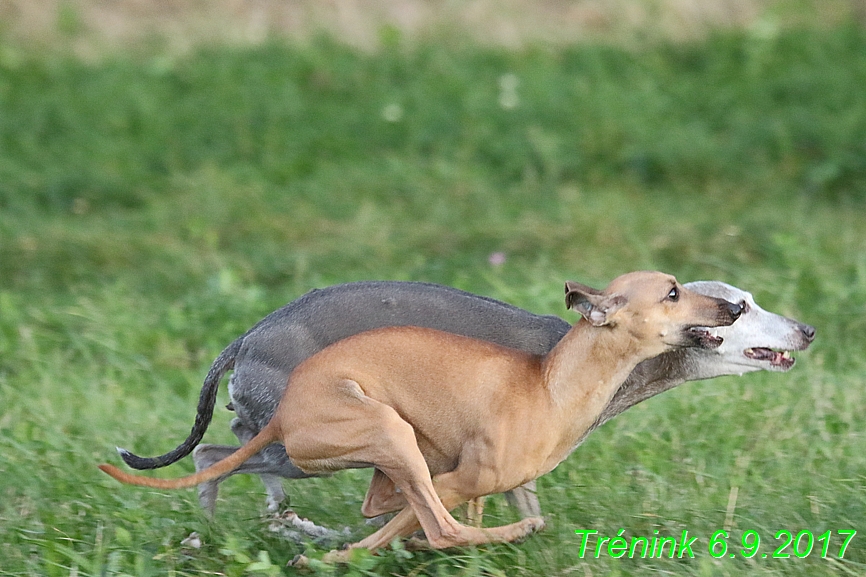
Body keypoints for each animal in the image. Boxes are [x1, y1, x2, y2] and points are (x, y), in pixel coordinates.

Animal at [99, 272, 736, 556]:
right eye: (674, 292)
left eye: (740, 298)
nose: (732, 309)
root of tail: (247, 337)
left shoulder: (504, 474)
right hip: (338, 441)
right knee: (219, 454)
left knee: (225, 458)